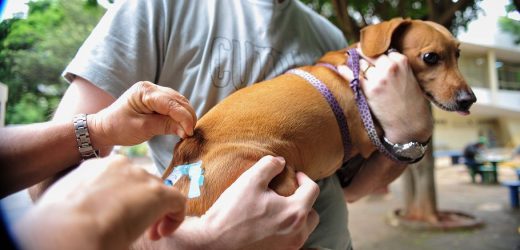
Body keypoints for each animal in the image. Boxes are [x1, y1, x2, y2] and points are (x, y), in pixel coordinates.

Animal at [162, 17, 476, 216]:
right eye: (431, 57)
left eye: (458, 54)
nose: (469, 99)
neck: (358, 67)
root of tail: (187, 152)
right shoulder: (369, 140)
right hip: (278, 177)